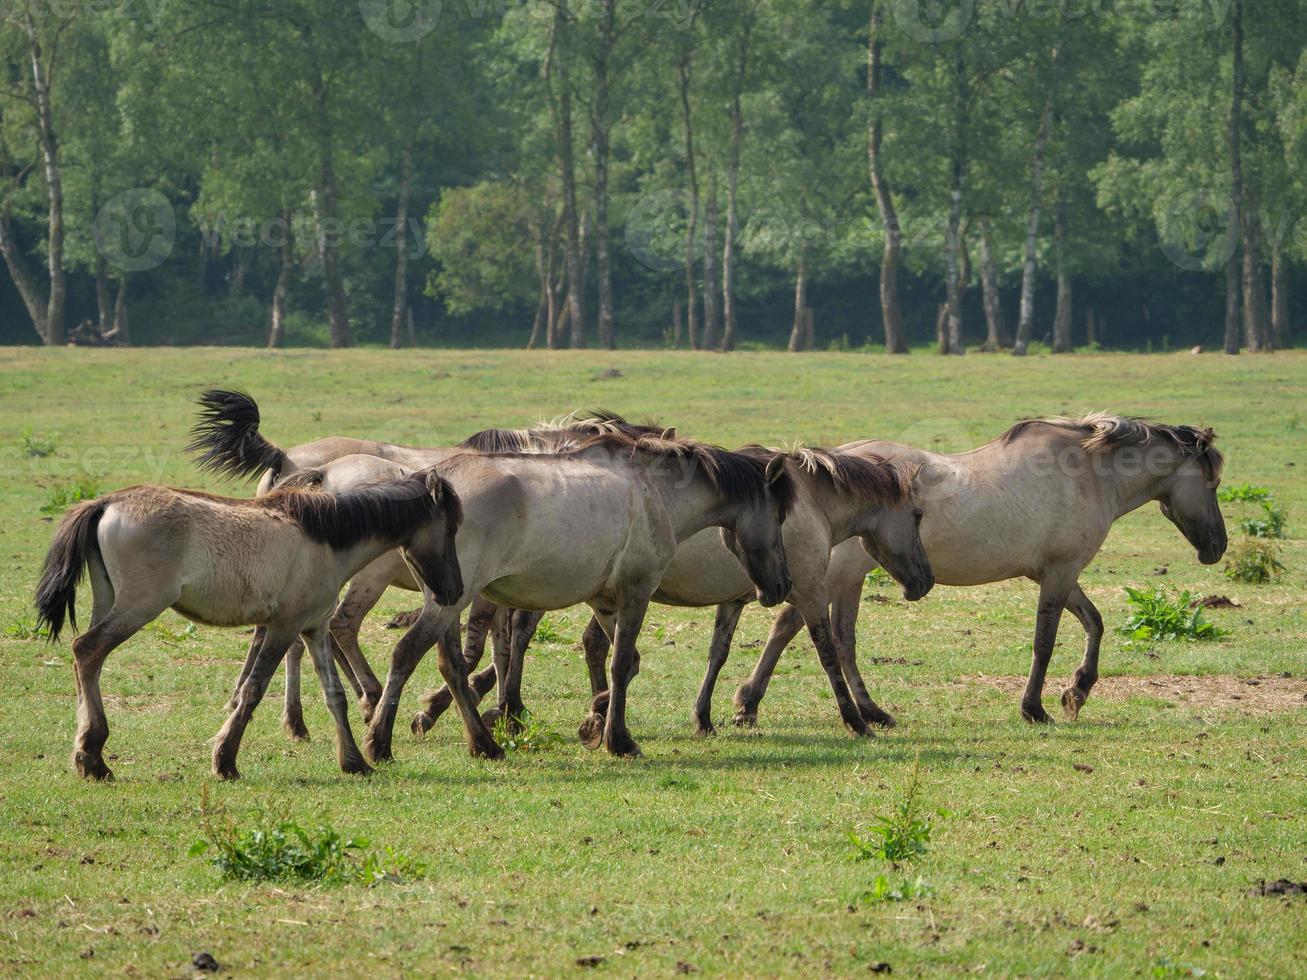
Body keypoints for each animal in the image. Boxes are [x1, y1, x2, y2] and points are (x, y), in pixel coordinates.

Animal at [33, 467, 465, 783]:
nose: (455, 591)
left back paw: (88, 753)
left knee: (86, 660)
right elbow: (253, 691)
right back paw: (93, 757)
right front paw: (225, 760)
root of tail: (107, 502)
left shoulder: (314, 630)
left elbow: (335, 695)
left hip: (111, 603)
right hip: (138, 608)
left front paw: (355, 761)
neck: (325, 537)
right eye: (451, 528)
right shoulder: (283, 628)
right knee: (87, 650)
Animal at [186, 391, 663, 736]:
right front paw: (489, 708)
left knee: (291, 637)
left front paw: (499, 707)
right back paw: (366, 698)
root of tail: (292, 460)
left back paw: (289, 716)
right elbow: (494, 643)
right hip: (365, 577)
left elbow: (504, 643)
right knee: (340, 626)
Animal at [278, 436, 794, 768]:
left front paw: (593, 723)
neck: (654, 492)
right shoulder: (636, 593)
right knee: (407, 653)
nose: (782, 585)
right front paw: (618, 739)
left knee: (451, 666)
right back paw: (379, 741)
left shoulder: (606, 601)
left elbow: (623, 665)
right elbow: (621, 663)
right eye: (781, 516)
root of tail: (430, 484)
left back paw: (483, 744)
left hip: (448, 597)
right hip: (447, 599)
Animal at [418, 446, 941, 742]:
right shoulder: (811, 590)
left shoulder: (736, 598)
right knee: (514, 637)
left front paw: (706, 716)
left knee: (530, 640)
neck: (811, 500)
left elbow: (718, 653)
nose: (925, 581)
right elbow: (828, 648)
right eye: (917, 516)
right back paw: (495, 710)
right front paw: (859, 716)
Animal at [731, 415, 1218, 731]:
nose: (1217, 546)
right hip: (840, 575)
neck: (1087, 472)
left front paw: (1077, 692)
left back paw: (863, 712)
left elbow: (1093, 623)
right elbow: (1045, 641)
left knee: (832, 637)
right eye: (1212, 483)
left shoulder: (1055, 573)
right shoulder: (1059, 573)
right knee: (798, 628)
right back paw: (753, 704)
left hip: (846, 578)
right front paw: (1036, 708)